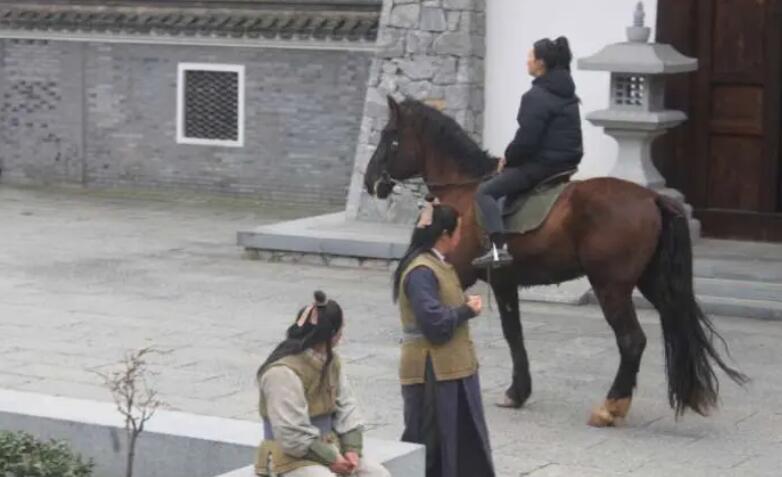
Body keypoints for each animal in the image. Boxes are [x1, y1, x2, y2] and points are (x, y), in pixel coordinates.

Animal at [364, 97, 747, 427]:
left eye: (390, 138)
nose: (370, 182)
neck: (466, 190)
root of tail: (652, 198)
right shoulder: (504, 282)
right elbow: (513, 333)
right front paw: (518, 391)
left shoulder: (461, 270)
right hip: (652, 282)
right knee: (674, 325)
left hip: (611, 286)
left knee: (631, 340)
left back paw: (611, 406)